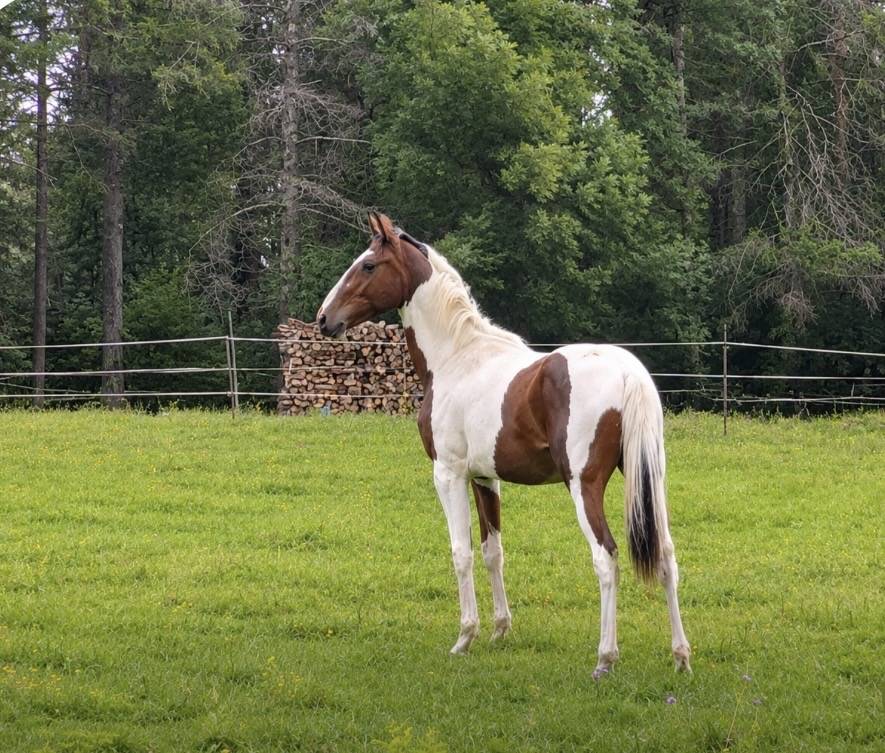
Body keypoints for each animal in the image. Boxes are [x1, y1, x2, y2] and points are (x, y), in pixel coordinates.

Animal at [317, 212, 691, 677]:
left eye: (368, 265)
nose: (324, 318)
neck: (456, 357)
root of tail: (628, 372)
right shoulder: (485, 478)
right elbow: (492, 550)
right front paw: (499, 630)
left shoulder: (448, 474)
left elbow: (461, 553)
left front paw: (465, 638)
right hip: (651, 480)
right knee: (667, 556)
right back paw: (680, 657)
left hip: (584, 486)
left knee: (606, 559)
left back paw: (605, 659)